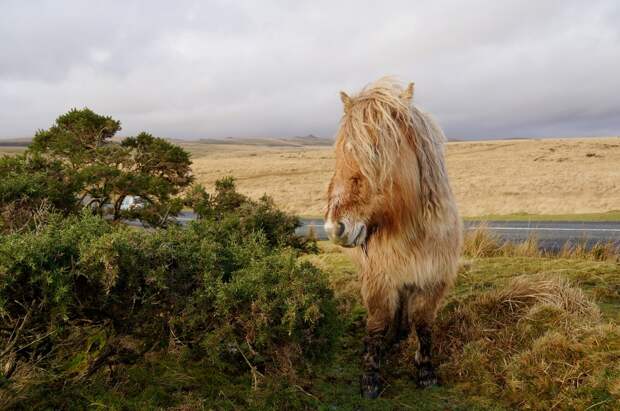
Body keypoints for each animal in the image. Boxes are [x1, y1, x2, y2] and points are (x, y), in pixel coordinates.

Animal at [324, 77, 460, 400]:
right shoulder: (379, 278)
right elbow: (377, 322)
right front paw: (371, 376)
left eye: (375, 151)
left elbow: (423, 324)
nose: (335, 227)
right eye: (341, 152)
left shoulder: (432, 279)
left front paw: (426, 371)